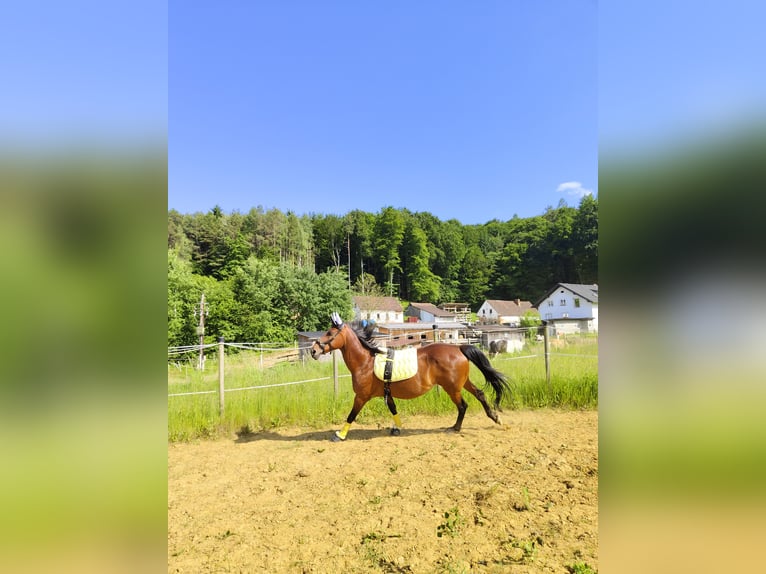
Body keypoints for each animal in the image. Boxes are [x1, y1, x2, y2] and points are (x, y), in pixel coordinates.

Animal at [310, 312, 511, 441]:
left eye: (329, 333)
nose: (313, 350)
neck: (366, 362)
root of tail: (459, 348)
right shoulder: (387, 394)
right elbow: (393, 410)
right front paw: (397, 429)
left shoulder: (361, 397)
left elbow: (351, 415)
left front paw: (340, 435)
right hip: (462, 383)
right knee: (480, 394)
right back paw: (495, 417)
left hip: (452, 388)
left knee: (463, 406)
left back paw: (455, 428)